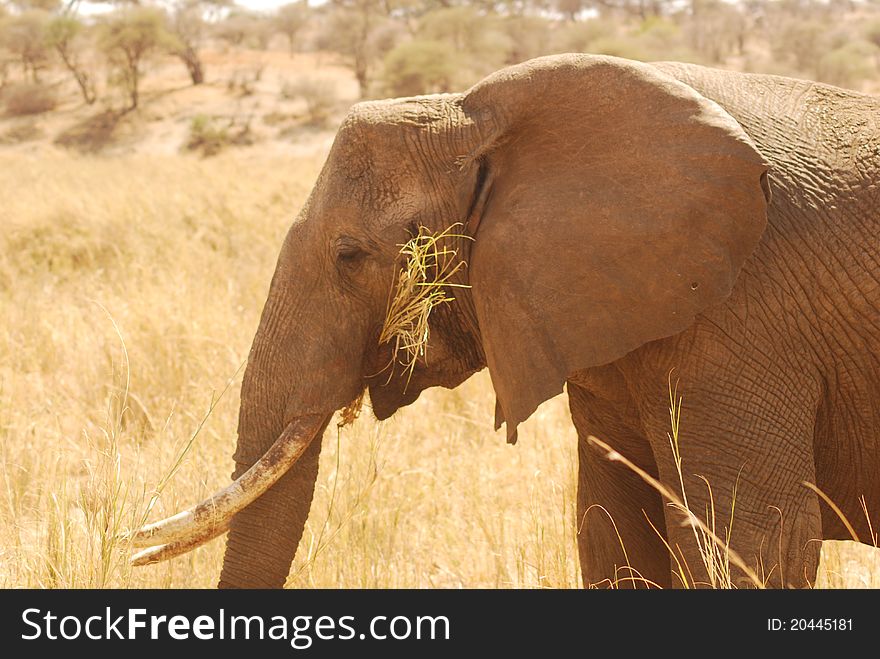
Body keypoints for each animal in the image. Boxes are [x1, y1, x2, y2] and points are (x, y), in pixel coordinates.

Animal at [127, 52, 880, 588]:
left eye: (350, 256)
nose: (126, 542)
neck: (471, 116)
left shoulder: (748, 315)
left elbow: (751, 542)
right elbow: (612, 531)